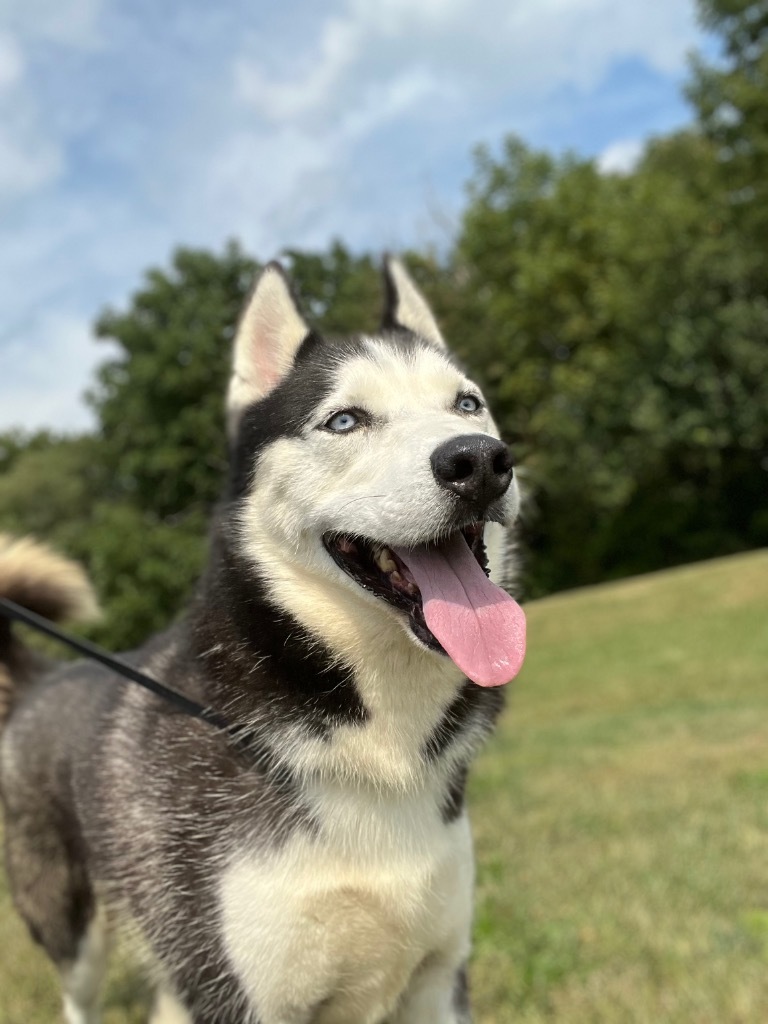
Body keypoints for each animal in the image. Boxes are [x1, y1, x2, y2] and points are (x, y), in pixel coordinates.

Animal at [0, 260, 528, 1019]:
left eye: (467, 404)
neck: (379, 748)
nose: (480, 461)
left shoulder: (437, 977)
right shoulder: (236, 992)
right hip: (69, 923)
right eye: (345, 420)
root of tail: (41, 675)